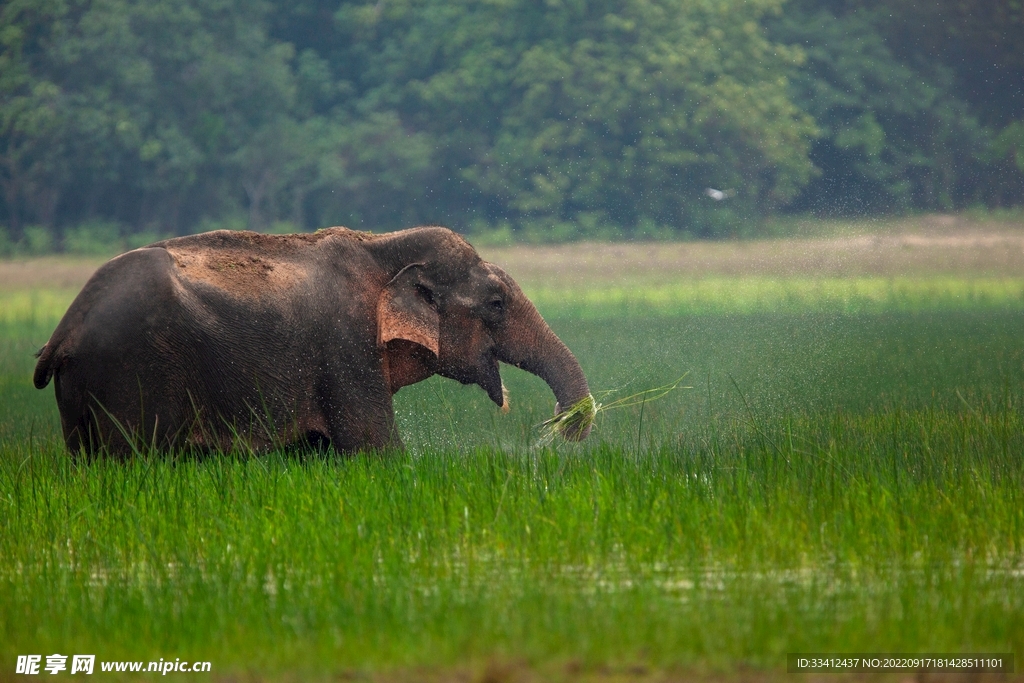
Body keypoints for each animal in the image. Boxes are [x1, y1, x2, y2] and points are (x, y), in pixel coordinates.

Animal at [33, 226, 593, 456]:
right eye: (496, 303)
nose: (565, 427)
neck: (380, 244)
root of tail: (65, 329)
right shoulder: (346, 347)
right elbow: (375, 448)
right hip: (132, 375)